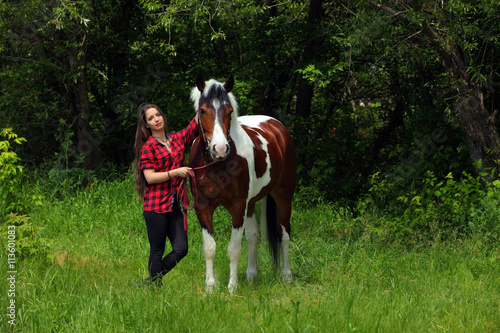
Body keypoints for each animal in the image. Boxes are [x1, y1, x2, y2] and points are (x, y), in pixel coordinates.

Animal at [188, 74, 296, 290]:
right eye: (202, 110)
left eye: (230, 112)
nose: (220, 149)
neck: (217, 166)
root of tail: (277, 127)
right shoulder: (203, 208)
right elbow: (209, 248)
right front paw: (210, 286)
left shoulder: (237, 206)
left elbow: (234, 249)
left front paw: (232, 287)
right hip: (251, 203)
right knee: (253, 236)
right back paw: (251, 275)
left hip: (283, 195)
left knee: (284, 235)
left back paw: (286, 275)